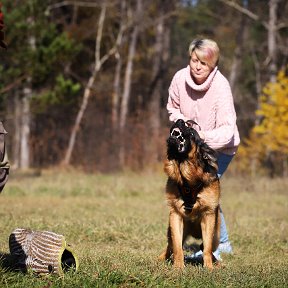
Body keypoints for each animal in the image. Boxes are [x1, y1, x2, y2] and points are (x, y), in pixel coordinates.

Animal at [160, 118, 220, 268]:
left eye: (192, 132)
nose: (180, 120)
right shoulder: (175, 215)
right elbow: (177, 247)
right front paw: (178, 267)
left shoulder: (208, 215)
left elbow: (207, 248)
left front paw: (209, 268)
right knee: (170, 247)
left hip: (216, 235)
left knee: (207, 247)